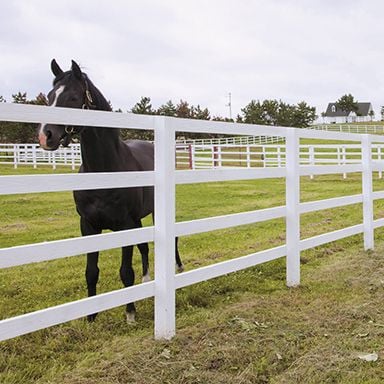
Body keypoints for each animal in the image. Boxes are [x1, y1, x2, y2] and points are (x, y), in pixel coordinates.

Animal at [39, 60, 183, 322]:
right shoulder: (88, 226)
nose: (46, 135)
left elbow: (126, 271)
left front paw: (130, 313)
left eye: (73, 97)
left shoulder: (124, 225)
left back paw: (177, 267)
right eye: (50, 96)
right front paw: (91, 315)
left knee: (172, 239)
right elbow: (91, 271)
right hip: (137, 219)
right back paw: (147, 279)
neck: (104, 172)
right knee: (144, 247)